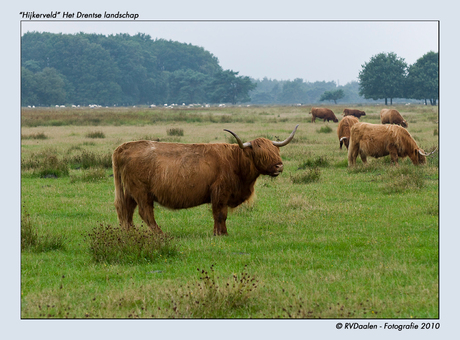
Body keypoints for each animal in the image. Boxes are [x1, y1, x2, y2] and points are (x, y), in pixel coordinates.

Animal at [111, 125, 298, 236]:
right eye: (261, 154)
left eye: (276, 151)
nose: (279, 166)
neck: (236, 161)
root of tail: (123, 147)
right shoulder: (220, 192)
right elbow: (220, 214)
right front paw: (220, 234)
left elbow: (219, 215)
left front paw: (221, 233)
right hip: (141, 192)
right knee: (145, 212)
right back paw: (160, 234)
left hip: (130, 192)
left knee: (126, 210)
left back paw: (130, 233)